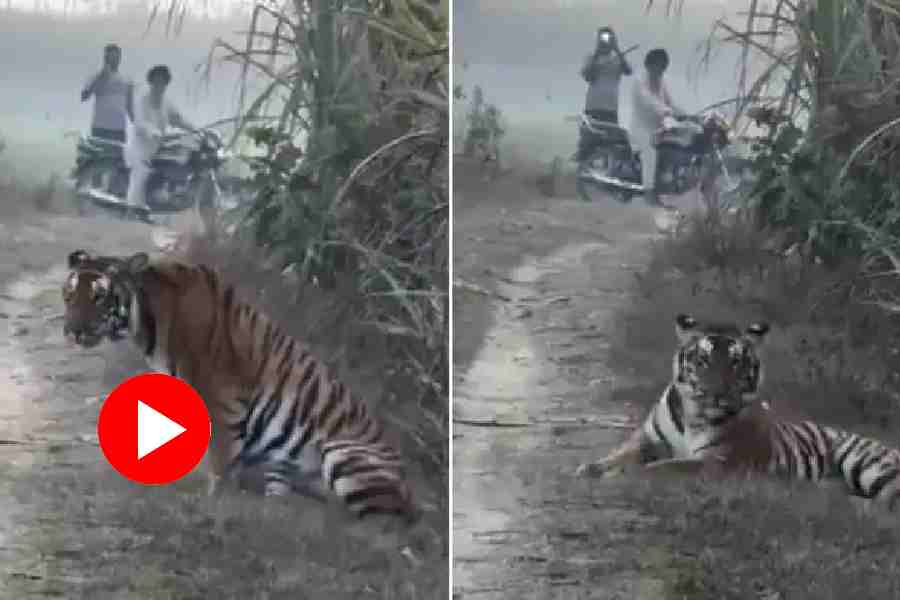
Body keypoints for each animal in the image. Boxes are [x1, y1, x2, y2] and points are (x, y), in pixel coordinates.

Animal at [62, 249, 419, 523]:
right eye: (69, 295)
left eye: (99, 298)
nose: (72, 331)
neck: (148, 319)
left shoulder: (223, 401)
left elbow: (220, 461)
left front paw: (211, 505)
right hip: (284, 466)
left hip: (344, 454)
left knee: (371, 525)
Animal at [576, 313, 900, 511]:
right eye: (703, 360)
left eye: (735, 362)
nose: (717, 393)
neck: (694, 416)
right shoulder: (648, 440)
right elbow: (621, 454)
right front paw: (591, 468)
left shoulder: (720, 462)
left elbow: (663, 468)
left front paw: (625, 476)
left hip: (866, 462)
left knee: (889, 502)